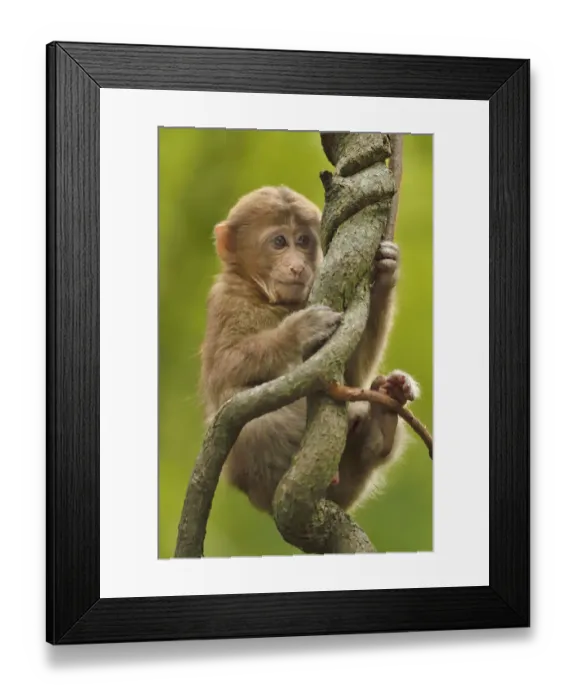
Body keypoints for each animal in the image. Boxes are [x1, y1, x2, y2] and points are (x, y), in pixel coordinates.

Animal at [199, 185, 420, 516]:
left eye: (303, 241)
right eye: (279, 242)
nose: (298, 265)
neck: (266, 296)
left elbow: (351, 375)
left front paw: (385, 274)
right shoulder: (226, 301)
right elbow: (224, 369)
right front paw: (297, 331)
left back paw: (382, 424)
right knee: (253, 422)